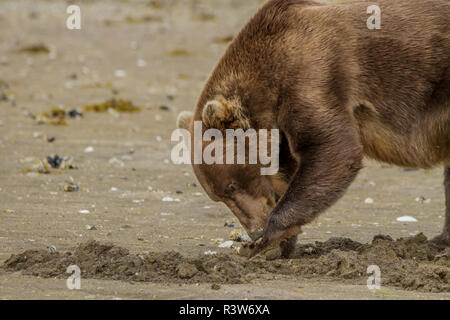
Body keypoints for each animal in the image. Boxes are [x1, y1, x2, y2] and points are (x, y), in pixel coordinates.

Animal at [176, 0, 450, 258]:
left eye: (231, 186)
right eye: (218, 196)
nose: (253, 231)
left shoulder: (313, 74)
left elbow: (333, 149)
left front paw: (263, 243)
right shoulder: (281, 131)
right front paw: (278, 244)